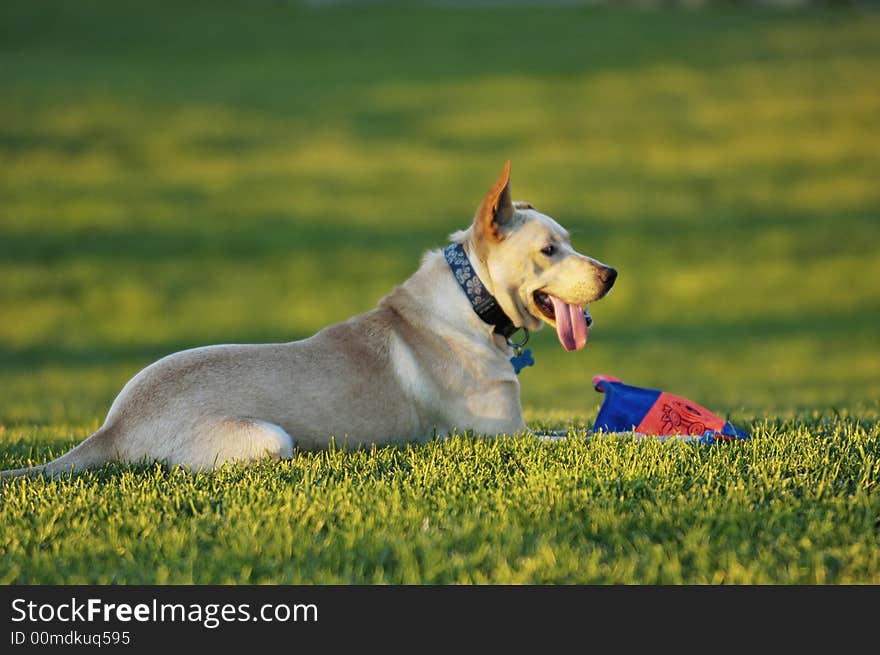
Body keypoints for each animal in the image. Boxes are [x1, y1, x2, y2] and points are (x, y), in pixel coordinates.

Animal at [1, 161, 620, 480]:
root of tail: (113, 426)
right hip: (270, 440)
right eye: (549, 251)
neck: (472, 302)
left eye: (569, 242)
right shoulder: (505, 435)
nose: (612, 273)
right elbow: (581, 435)